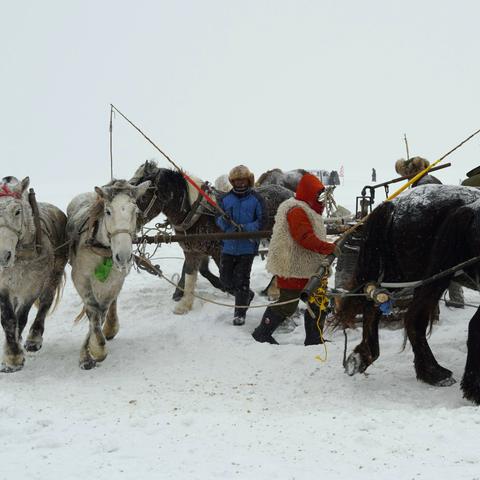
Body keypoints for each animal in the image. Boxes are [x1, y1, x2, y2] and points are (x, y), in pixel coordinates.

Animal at [0, 176, 68, 372]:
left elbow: (21, 317)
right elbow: (8, 319)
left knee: (45, 302)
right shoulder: (3, 286)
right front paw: (11, 354)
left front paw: (14, 356)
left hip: (54, 274)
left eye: (17, 211)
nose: (2, 256)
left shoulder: (32, 286)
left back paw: (33, 338)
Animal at [65, 178, 148, 370]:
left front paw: (93, 349)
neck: (102, 248)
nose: (123, 256)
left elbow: (101, 311)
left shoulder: (116, 281)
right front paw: (94, 351)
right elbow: (93, 310)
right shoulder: (80, 278)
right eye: (108, 211)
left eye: (135, 211)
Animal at [336, 184, 480, 404]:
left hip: (400, 276)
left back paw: (365, 354)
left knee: (374, 304)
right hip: (429, 277)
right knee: (415, 319)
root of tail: (394, 204)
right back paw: (438, 374)